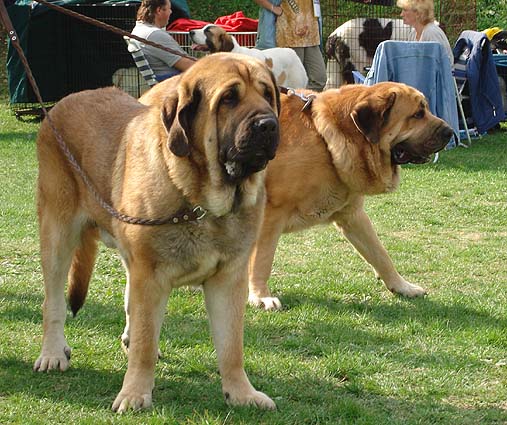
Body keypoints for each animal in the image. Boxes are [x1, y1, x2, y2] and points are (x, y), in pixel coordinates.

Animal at [34, 51, 282, 410]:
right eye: (229, 99)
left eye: (267, 94)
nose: (269, 124)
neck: (200, 199)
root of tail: (61, 104)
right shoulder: (150, 276)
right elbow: (145, 343)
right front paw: (135, 393)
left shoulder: (228, 279)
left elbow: (231, 346)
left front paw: (241, 393)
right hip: (57, 233)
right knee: (52, 301)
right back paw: (52, 353)